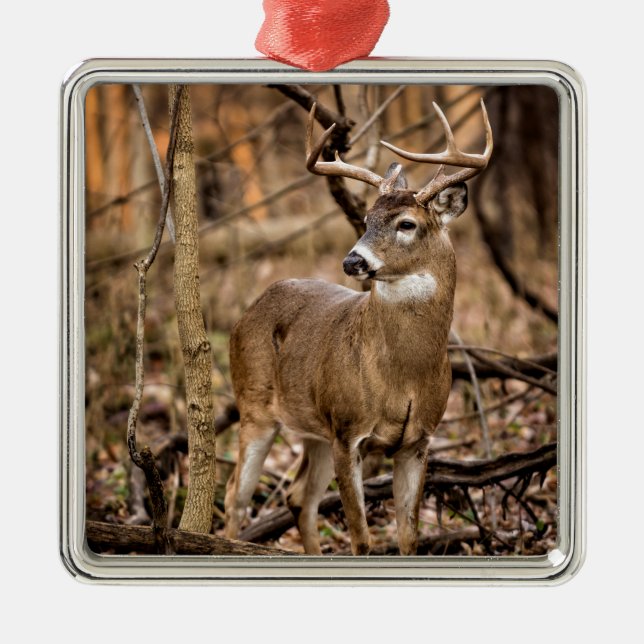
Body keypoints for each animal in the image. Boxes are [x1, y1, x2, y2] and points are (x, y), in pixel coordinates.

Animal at [224, 99, 493, 555]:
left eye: (406, 224)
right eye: (366, 219)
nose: (353, 261)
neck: (403, 377)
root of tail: (246, 312)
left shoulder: (419, 440)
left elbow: (408, 536)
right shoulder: (348, 430)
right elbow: (362, 538)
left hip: (313, 427)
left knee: (299, 496)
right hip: (255, 405)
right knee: (236, 494)